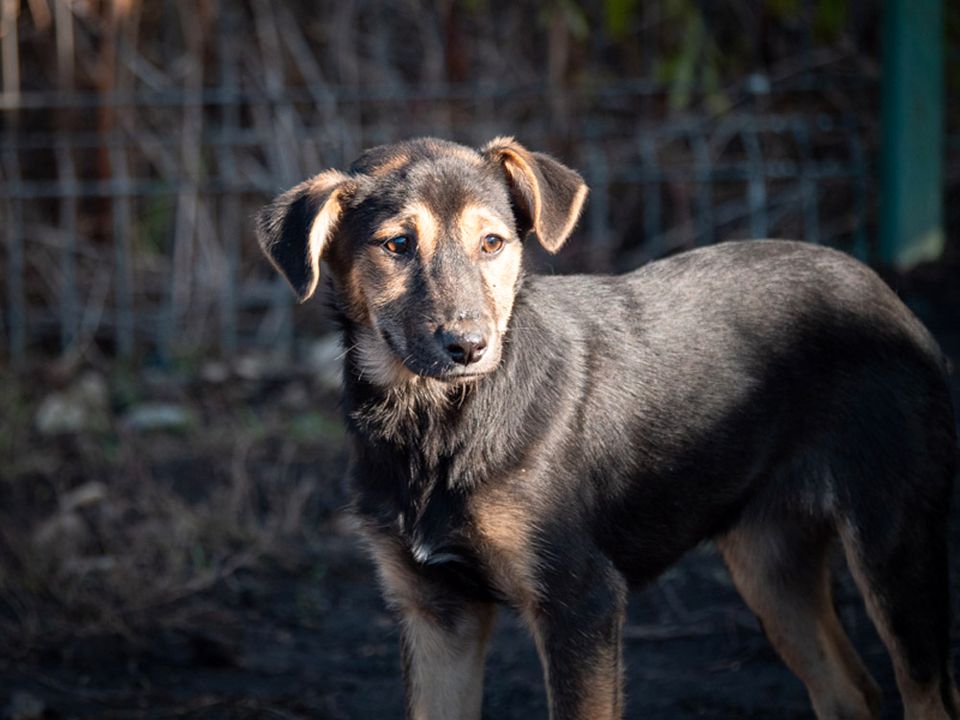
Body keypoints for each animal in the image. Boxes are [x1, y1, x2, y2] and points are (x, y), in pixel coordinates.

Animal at [256, 136, 960, 720]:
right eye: (397, 245)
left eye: (493, 243)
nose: (469, 347)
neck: (435, 423)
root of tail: (883, 289)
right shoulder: (436, 616)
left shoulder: (581, 601)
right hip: (769, 561)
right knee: (850, 691)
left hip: (892, 540)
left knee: (925, 696)